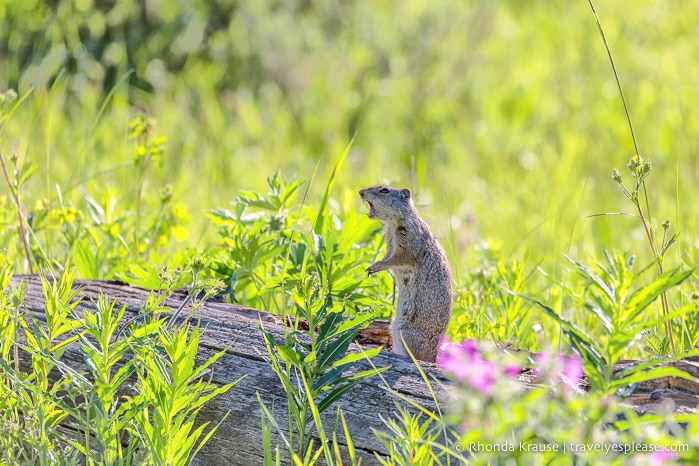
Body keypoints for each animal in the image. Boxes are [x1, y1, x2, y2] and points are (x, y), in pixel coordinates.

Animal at [360, 184, 454, 362]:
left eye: (384, 190)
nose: (360, 192)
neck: (392, 225)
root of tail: (433, 356)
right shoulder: (389, 245)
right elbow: (387, 257)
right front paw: (372, 267)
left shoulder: (407, 244)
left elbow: (395, 259)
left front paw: (376, 266)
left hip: (406, 333)